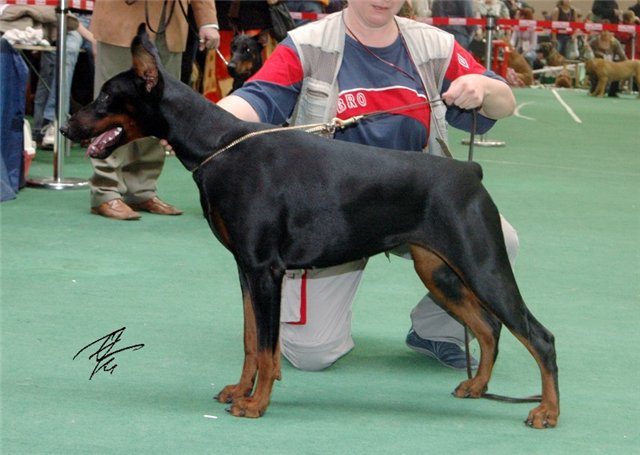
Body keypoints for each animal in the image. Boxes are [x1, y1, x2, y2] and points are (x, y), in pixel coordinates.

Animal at [61, 26, 560, 430]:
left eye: (104, 97)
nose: (67, 128)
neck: (219, 145)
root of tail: (470, 172)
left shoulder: (266, 269)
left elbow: (267, 346)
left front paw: (256, 404)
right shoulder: (246, 268)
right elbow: (251, 340)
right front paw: (240, 390)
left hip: (481, 263)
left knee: (538, 335)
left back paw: (547, 412)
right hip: (437, 270)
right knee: (488, 328)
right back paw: (476, 386)